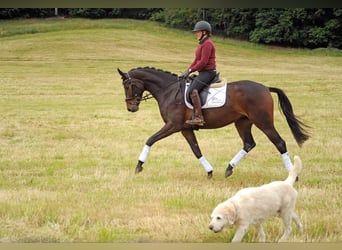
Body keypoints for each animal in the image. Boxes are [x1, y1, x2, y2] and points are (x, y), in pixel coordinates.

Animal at [117, 66, 310, 178]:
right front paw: (209, 171)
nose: (131, 107)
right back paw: (229, 169)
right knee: (249, 143)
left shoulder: (173, 126)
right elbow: (196, 150)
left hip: (263, 122)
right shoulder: (185, 129)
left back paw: (292, 175)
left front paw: (139, 166)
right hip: (242, 122)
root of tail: (265, 88)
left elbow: (150, 140)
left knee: (279, 143)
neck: (169, 91)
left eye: (128, 85)